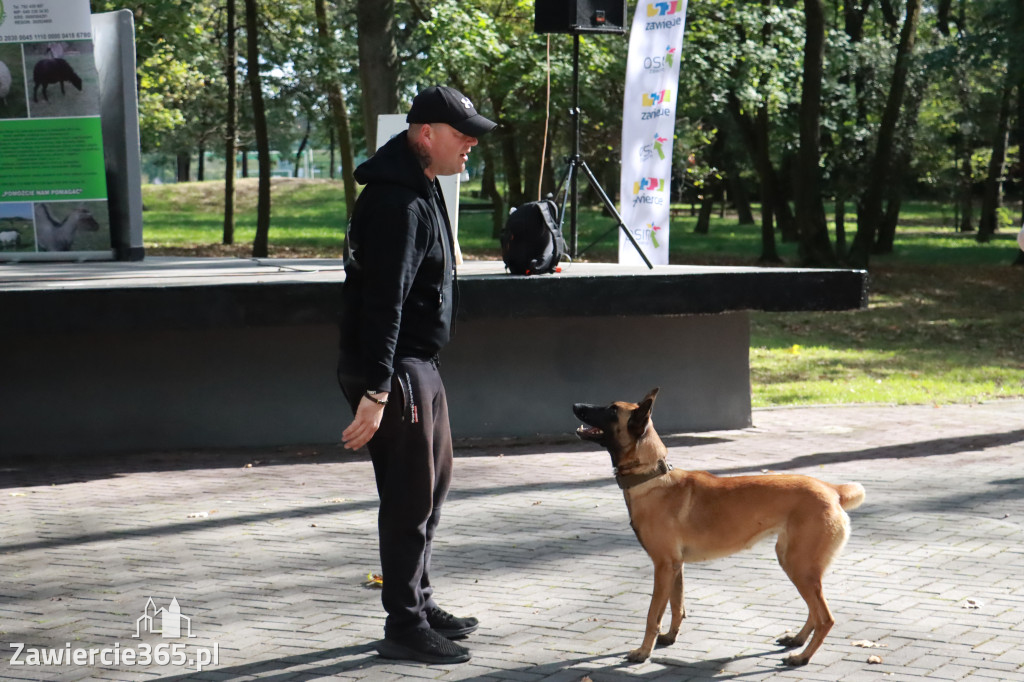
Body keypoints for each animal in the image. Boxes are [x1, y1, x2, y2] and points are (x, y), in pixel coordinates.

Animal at [577, 387, 864, 663]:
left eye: (612, 410)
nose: (575, 404)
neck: (651, 477)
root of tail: (833, 490)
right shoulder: (676, 567)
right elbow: (677, 606)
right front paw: (670, 637)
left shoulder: (663, 566)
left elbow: (652, 616)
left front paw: (643, 652)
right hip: (795, 564)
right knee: (814, 611)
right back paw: (797, 640)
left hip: (799, 566)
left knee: (825, 618)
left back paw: (803, 657)